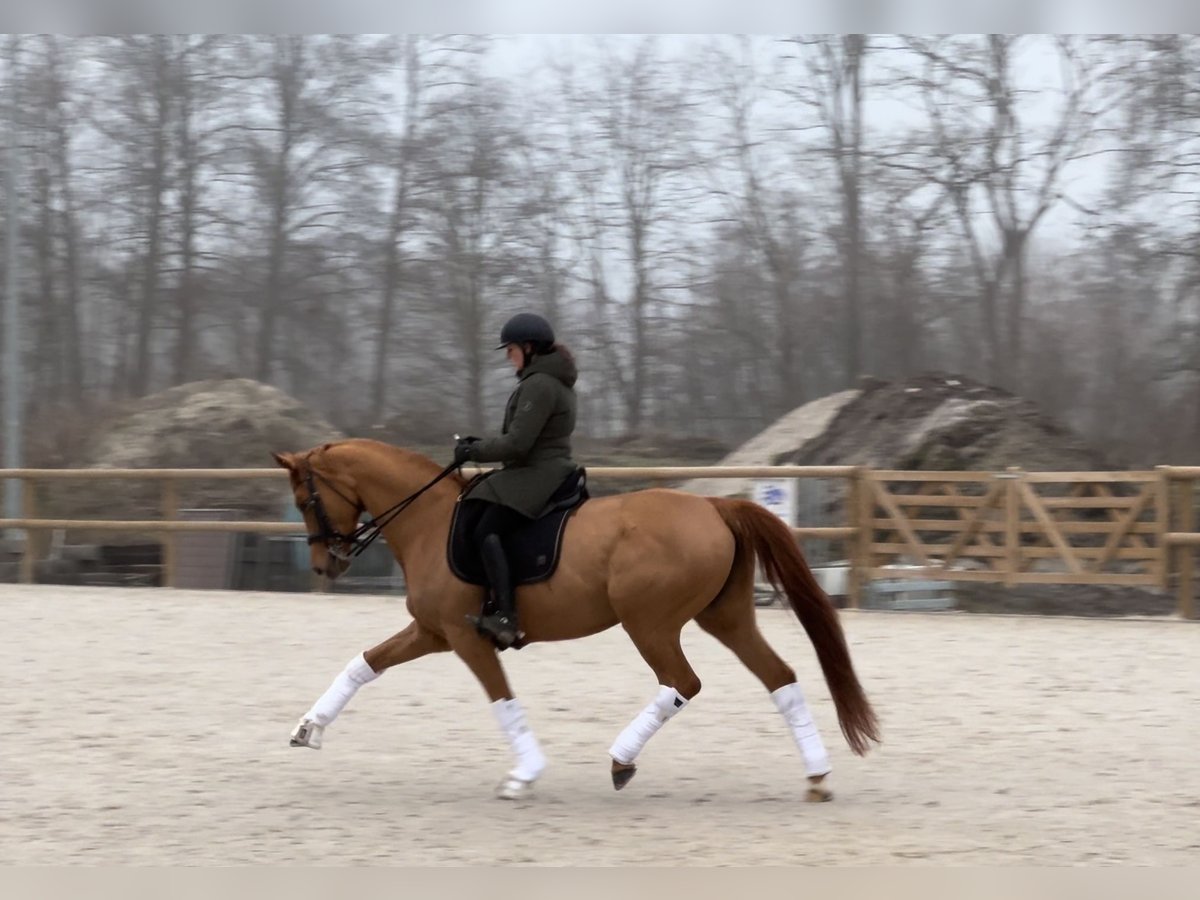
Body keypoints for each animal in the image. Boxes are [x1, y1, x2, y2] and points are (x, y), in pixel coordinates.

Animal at [272, 441, 878, 801]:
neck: (429, 520)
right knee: (780, 678)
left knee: (681, 683)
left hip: (649, 624)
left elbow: (502, 700)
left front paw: (524, 775)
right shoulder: (433, 633)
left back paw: (621, 760)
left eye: (304, 499)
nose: (326, 564)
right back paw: (817, 775)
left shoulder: (467, 639)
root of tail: (712, 506)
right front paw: (308, 728)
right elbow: (364, 664)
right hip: (725, 620)